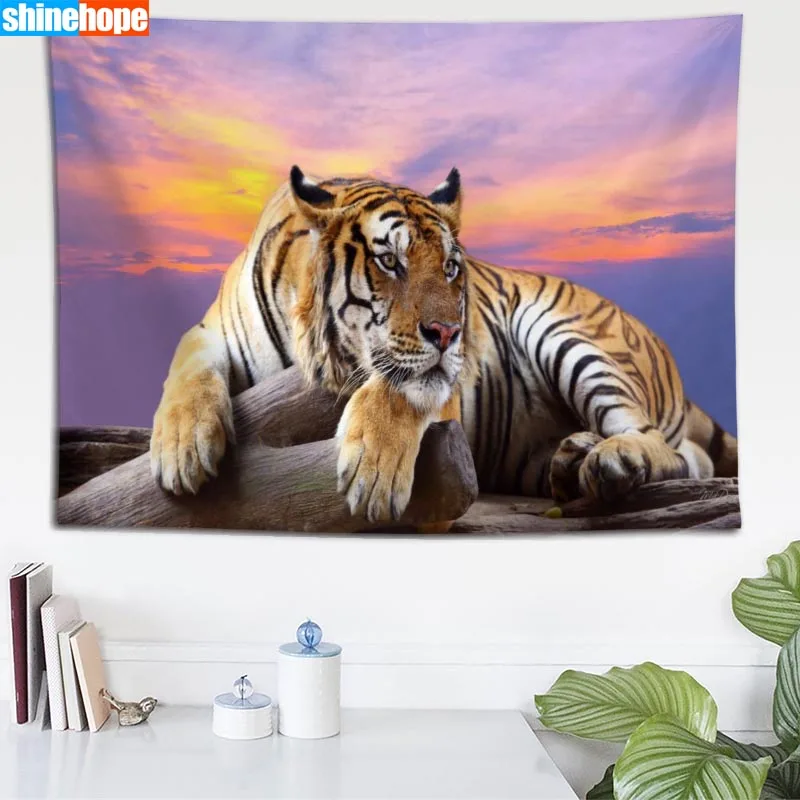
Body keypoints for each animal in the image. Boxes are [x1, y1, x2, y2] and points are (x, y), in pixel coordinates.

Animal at [150, 166, 738, 523]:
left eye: (452, 267)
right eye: (390, 261)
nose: (451, 332)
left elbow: (398, 387)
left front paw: (374, 475)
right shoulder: (211, 331)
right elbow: (186, 362)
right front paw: (182, 449)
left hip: (566, 334)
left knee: (670, 450)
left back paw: (612, 461)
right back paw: (573, 460)